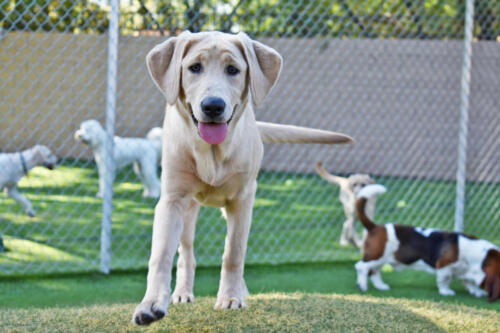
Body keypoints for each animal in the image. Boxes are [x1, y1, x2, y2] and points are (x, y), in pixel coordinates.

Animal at [131, 31, 354, 324]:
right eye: (194, 68)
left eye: (233, 70)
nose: (213, 106)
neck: (213, 152)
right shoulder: (172, 200)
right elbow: (161, 256)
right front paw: (151, 304)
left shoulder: (242, 199)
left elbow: (233, 254)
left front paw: (231, 297)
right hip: (189, 210)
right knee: (186, 251)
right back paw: (182, 292)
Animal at [356, 184, 500, 300]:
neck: (480, 256)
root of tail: (374, 226)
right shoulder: (444, 266)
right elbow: (444, 281)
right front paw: (446, 292)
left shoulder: (464, 271)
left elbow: (470, 283)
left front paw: (477, 292)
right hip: (376, 256)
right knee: (361, 266)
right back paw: (362, 285)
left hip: (381, 259)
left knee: (374, 272)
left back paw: (381, 286)